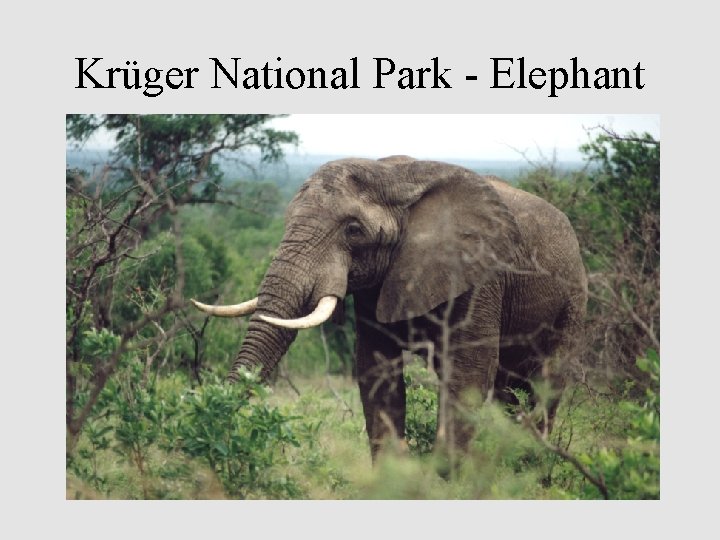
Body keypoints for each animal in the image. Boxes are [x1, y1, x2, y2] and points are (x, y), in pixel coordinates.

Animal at [192, 156, 587, 460]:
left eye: (353, 230)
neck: (395, 176)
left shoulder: (479, 278)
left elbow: (469, 373)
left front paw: (448, 482)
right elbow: (377, 370)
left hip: (573, 302)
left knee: (546, 384)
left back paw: (527, 466)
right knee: (510, 392)